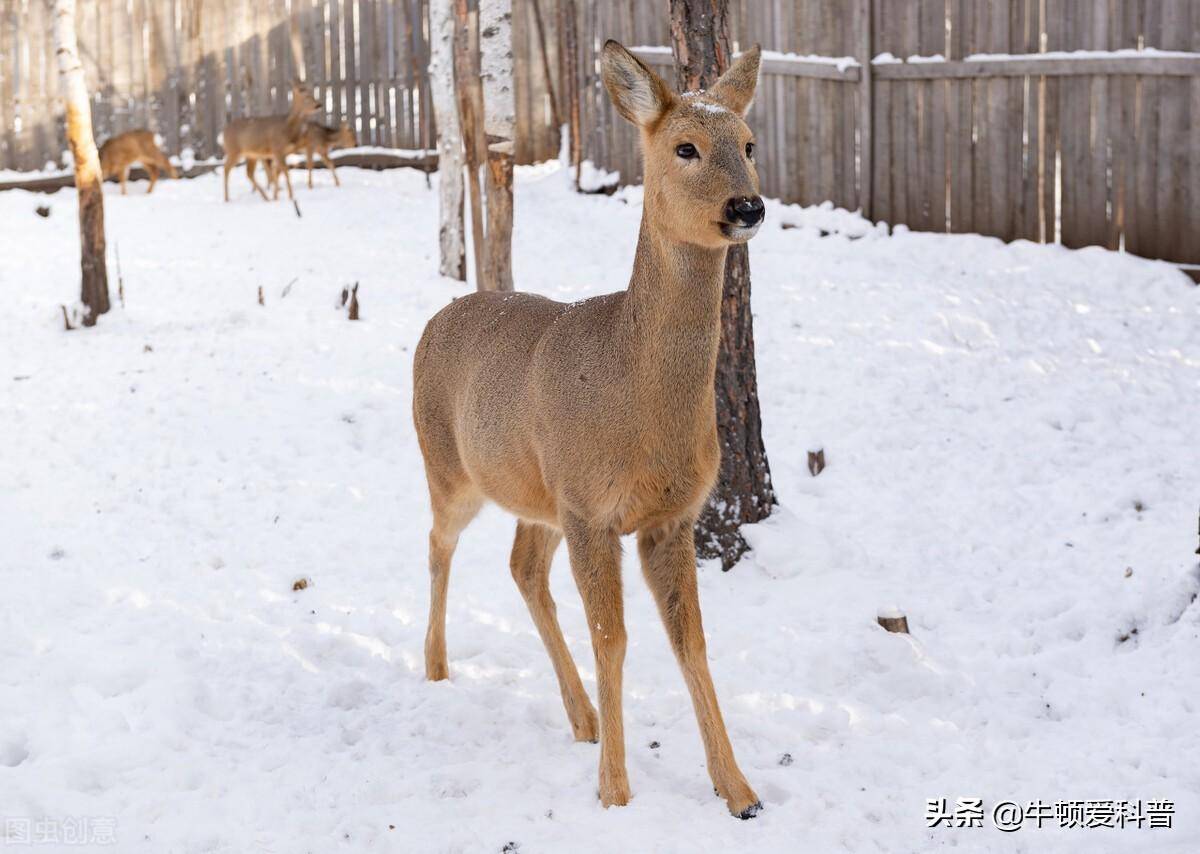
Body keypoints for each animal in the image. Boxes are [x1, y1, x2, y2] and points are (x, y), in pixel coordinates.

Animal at [412, 41, 768, 820]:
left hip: (537, 493)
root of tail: (435, 319)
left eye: (750, 144)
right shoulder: (591, 508)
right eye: (685, 147)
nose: (748, 205)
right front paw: (615, 792)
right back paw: (436, 666)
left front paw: (739, 791)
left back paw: (583, 716)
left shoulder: (670, 517)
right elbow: (615, 639)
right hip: (450, 467)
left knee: (521, 566)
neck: (639, 402)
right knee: (438, 544)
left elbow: (691, 643)